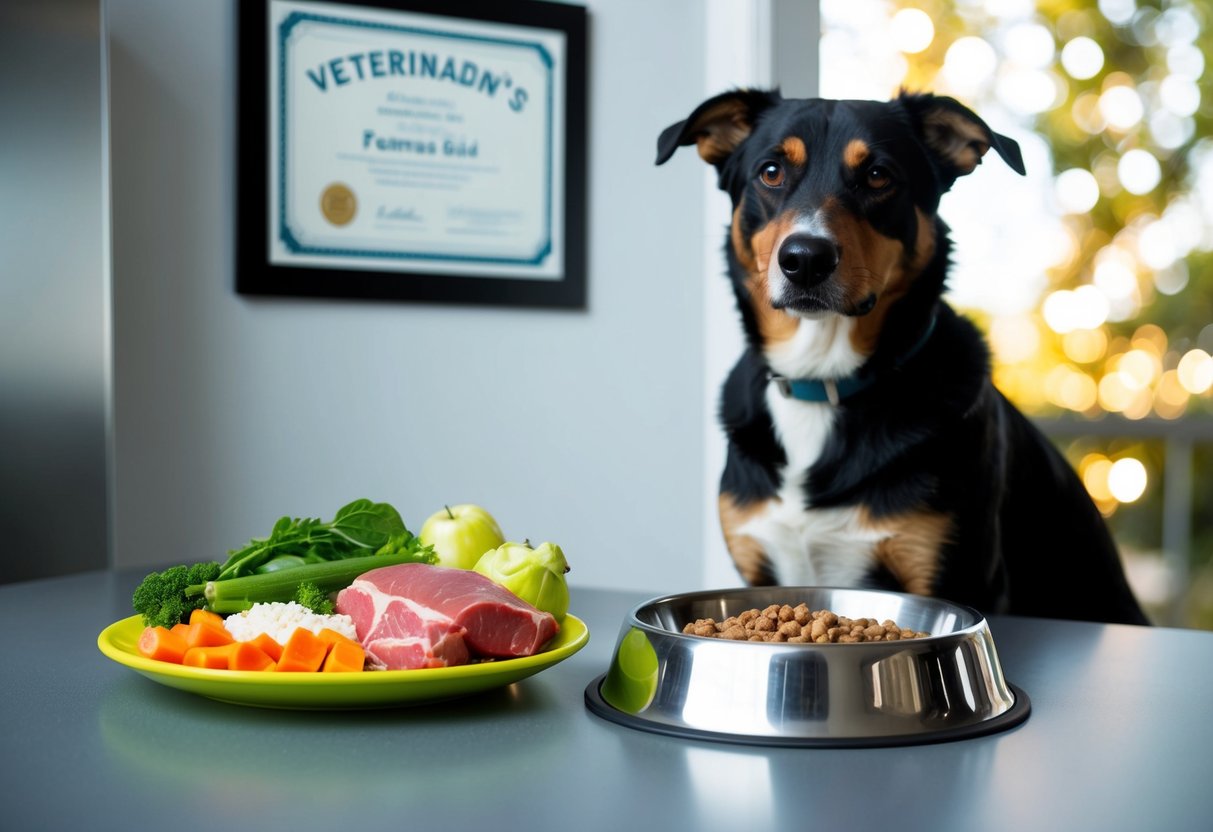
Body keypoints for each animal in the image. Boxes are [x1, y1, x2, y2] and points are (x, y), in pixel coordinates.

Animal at [659, 89, 1149, 625]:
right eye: (771, 172)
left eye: (878, 175)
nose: (805, 259)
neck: (822, 384)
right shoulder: (757, 562)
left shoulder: (953, 571)